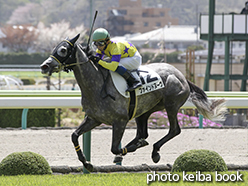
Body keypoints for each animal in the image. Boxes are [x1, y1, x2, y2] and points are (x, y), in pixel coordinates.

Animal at [40, 33, 227, 171]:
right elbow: (74, 135)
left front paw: (126, 151)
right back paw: (138, 144)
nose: (44, 66)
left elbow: (114, 148)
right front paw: (87, 163)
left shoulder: (120, 121)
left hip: (171, 105)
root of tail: (181, 75)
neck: (97, 85)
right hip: (143, 111)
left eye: (63, 50)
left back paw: (154, 151)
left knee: (174, 130)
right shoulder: (94, 118)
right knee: (143, 133)